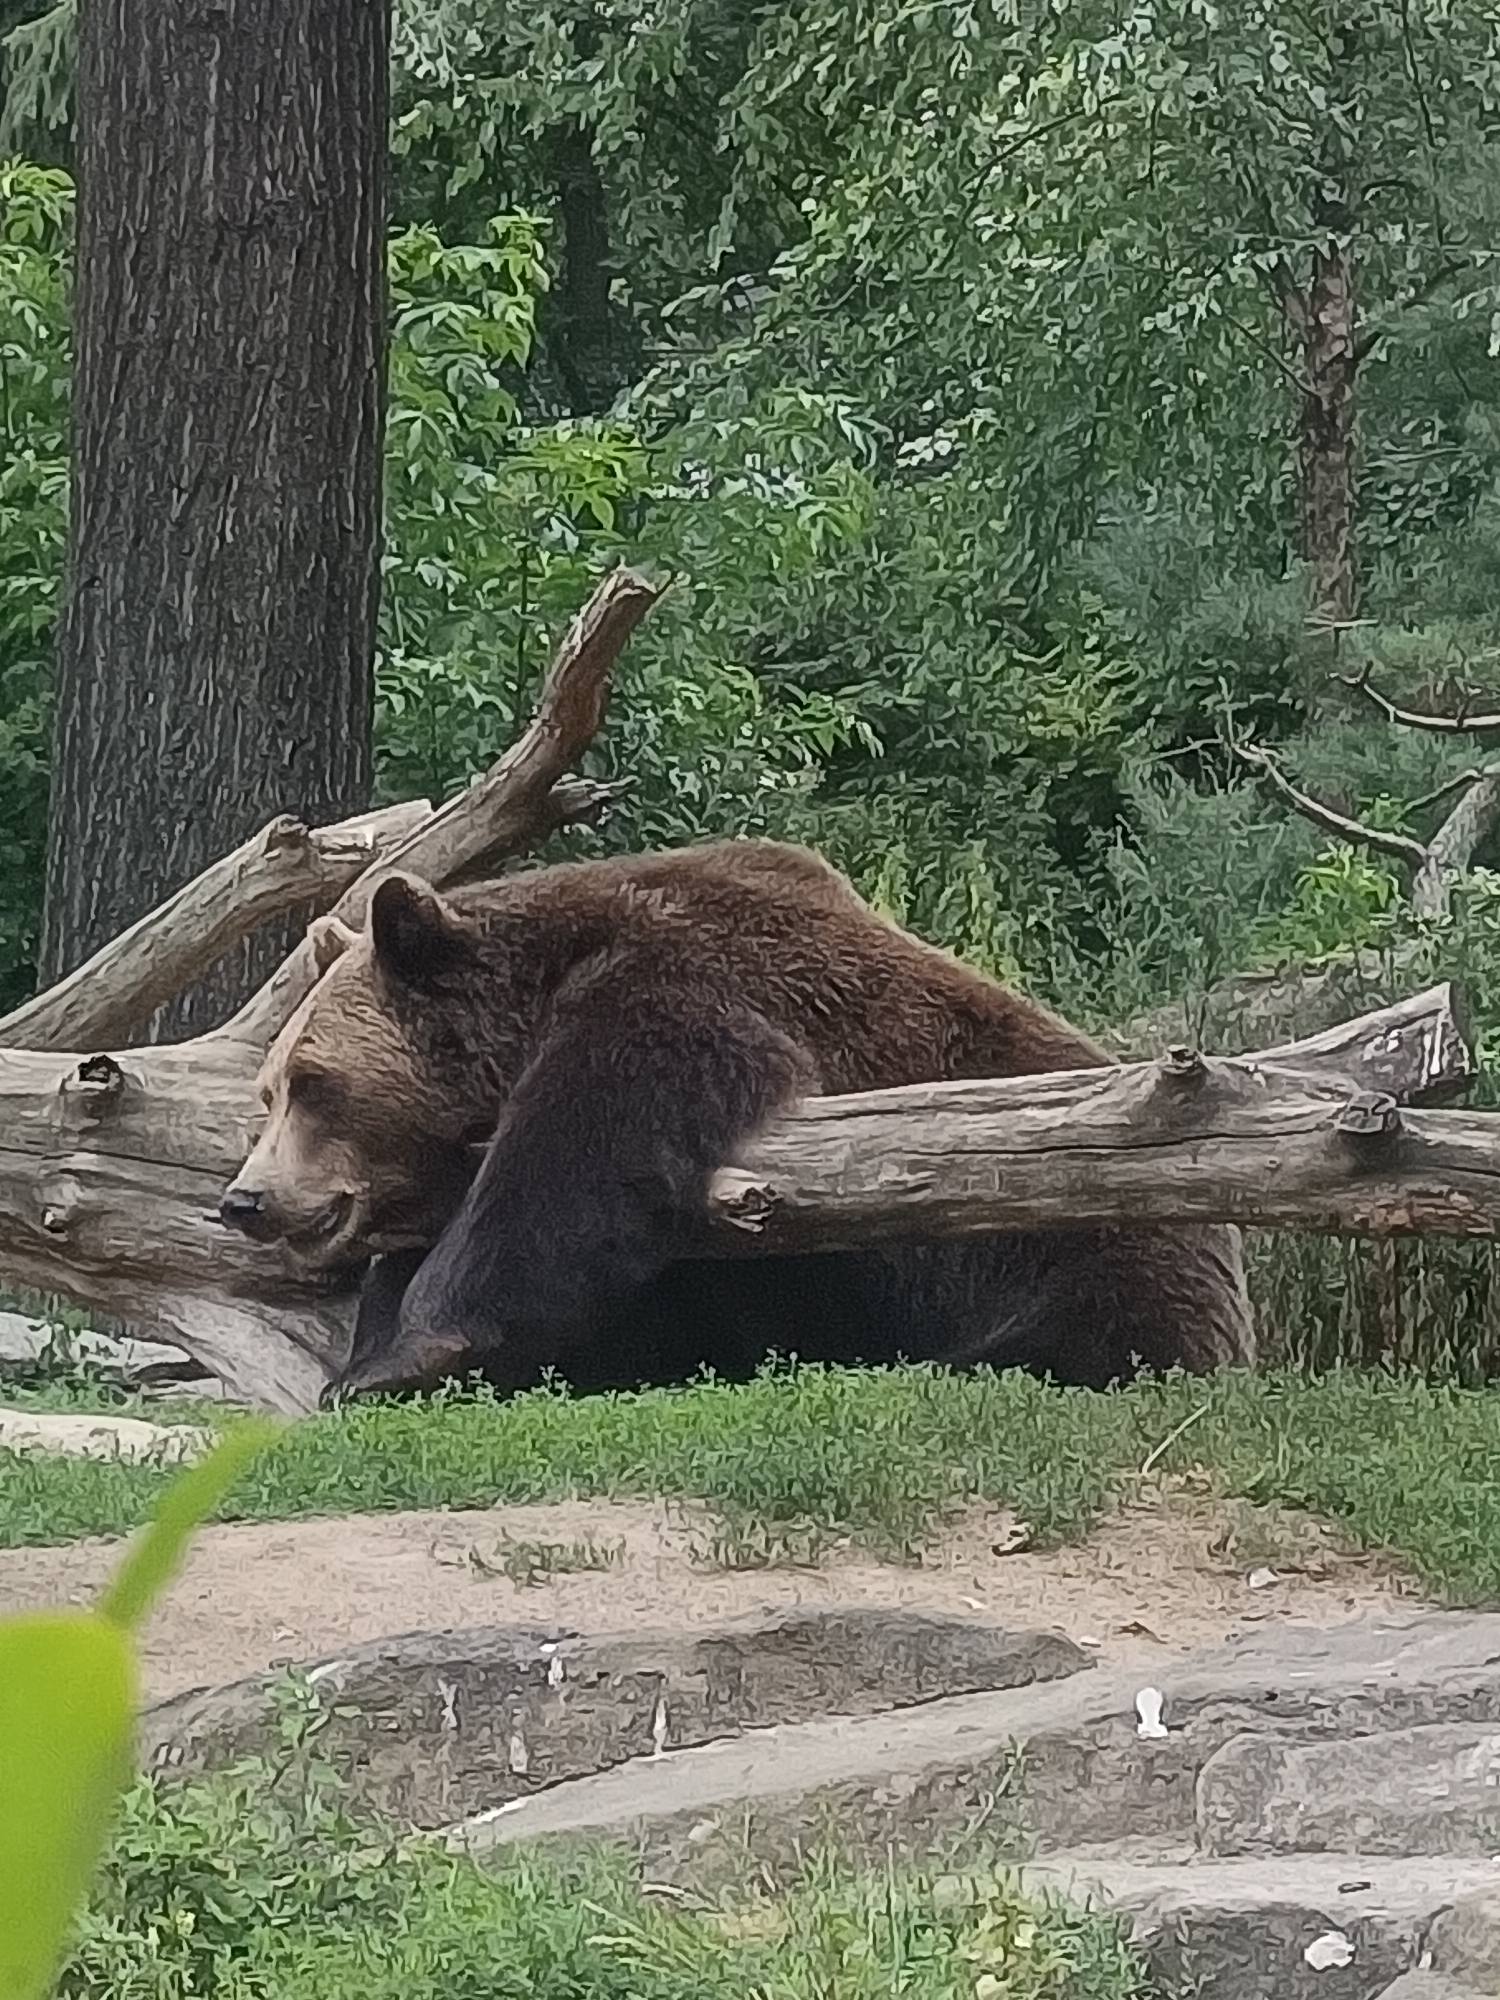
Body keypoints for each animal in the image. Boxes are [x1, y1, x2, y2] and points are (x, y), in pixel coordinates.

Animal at [220, 838, 1255, 1401]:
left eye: (312, 1082)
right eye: (267, 1093)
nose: (247, 1201)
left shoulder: (690, 1000)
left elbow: (567, 1166)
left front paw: (404, 1358)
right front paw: (371, 1348)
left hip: (1088, 1248)